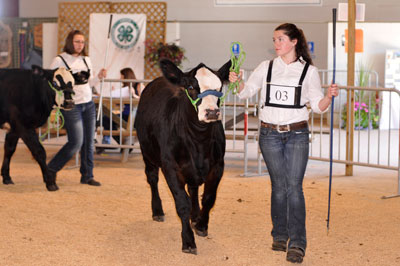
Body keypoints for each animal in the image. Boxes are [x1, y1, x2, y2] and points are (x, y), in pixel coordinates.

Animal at [134, 59, 230, 255]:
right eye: (191, 86)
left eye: (219, 88)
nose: (212, 112)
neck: (199, 141)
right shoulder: (170, 167)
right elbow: (181, 203)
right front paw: (188, 241)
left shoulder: (218, 165)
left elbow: (208, 197)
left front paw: (201, 225)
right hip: (147, 152)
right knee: (152, 179)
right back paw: (158, 211)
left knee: (193, 188)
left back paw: (195, 216)